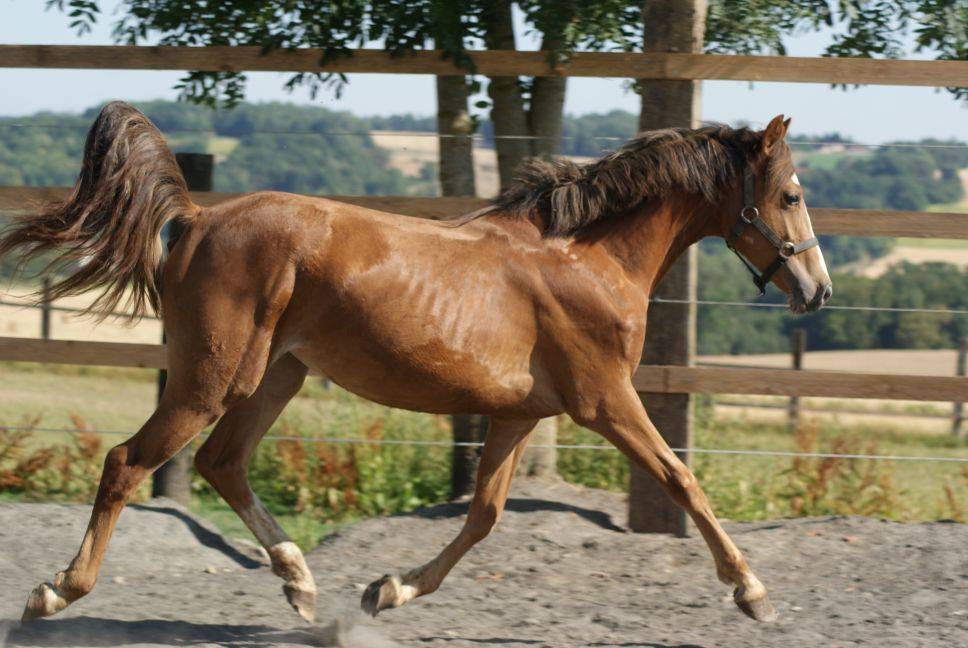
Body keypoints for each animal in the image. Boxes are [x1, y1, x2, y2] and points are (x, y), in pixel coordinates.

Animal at [3, 102, 831, 626]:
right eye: (789, 195)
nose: (817, 290)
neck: (589, 257)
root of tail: (198, 218)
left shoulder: (520, 412)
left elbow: (484, 515)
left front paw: (388, 590)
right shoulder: (605, 400)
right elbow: (682, 478)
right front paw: (753, 592)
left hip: (274, 375)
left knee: (221, 463)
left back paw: (301, 583)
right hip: (211, 378)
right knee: (127, 462)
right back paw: (55, 593)